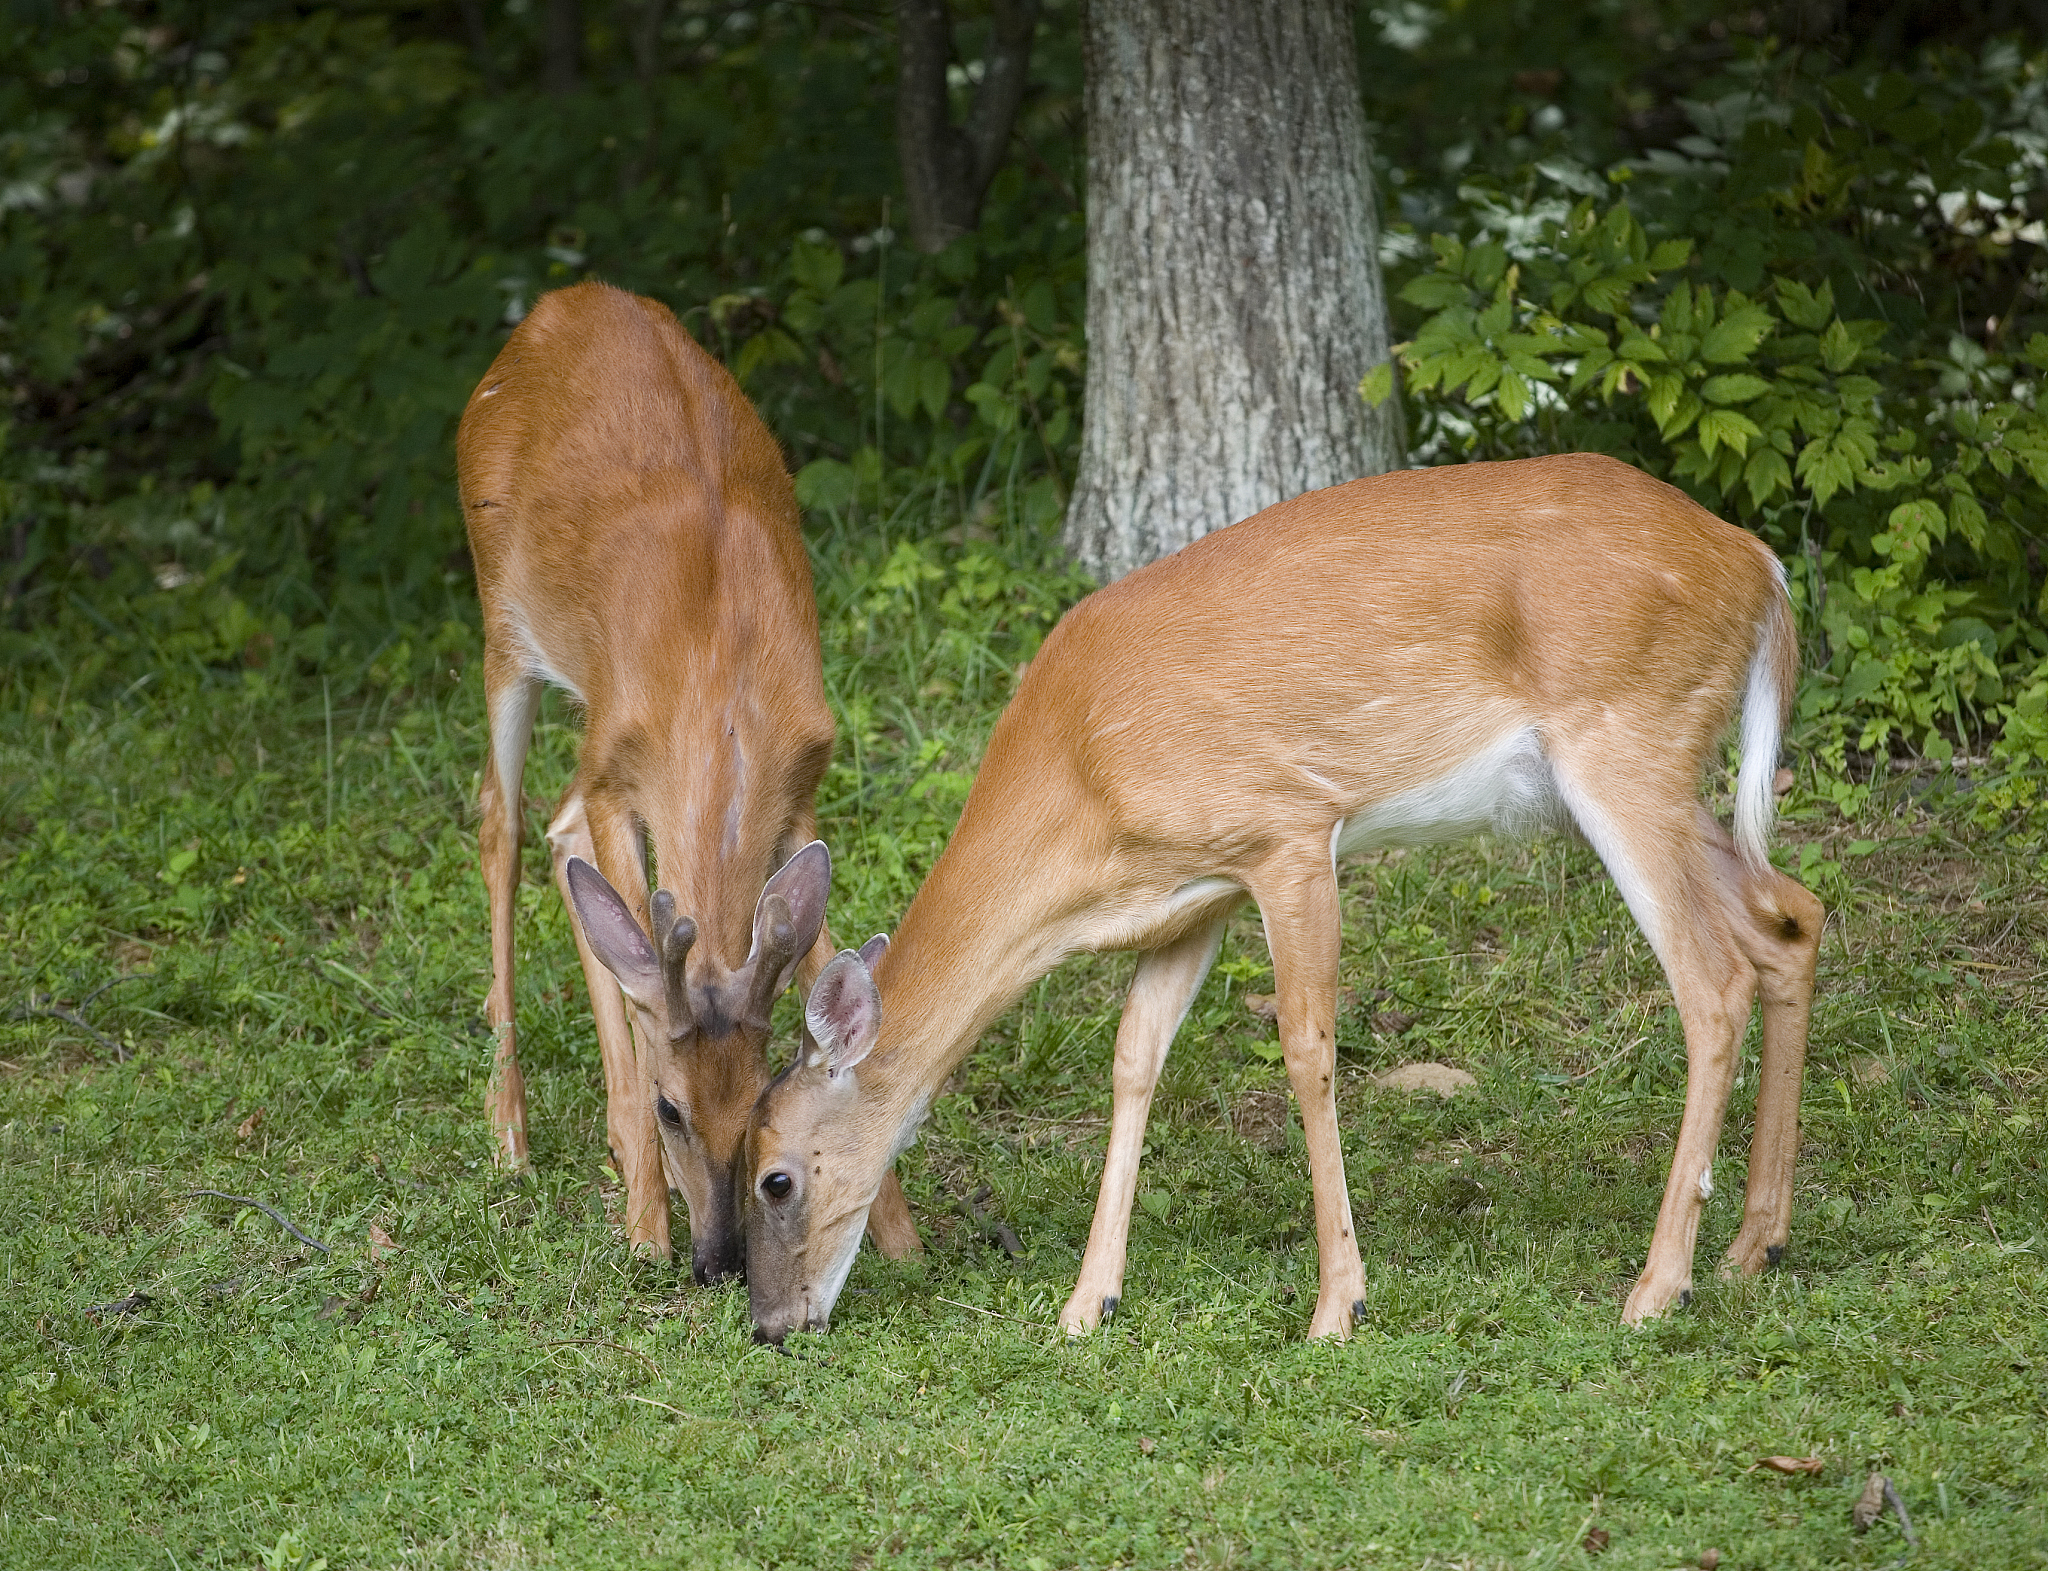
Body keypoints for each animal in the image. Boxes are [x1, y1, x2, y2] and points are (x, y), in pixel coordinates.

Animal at [464, 282, 921, 1286]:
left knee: (556, 833)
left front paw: (901, 1232)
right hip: (501, 621)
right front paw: (644, 1224)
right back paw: (510, 1133)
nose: (718, 1261)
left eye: (758, 1106)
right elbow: (642, 991)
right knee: (503, 821)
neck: (723, 700)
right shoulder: (617, 769)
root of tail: (562, 302)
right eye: (674, 1106)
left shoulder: (803, 786)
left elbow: (817, 956)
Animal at [737, 450, 1826, 1343]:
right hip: (1656, 780)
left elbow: (1307, 1049)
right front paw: (1089, 1301)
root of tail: (1759, 564)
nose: (769, 1325)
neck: (1081, 781)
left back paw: (1659, 1286)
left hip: (1628, 741)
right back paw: (1754, 1245)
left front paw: (1339, 1304)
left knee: (1713, 981)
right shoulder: (1194, 894)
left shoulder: (1289, 831)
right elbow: (1133, 1058)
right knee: (1790, 916)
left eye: (772, 1175)